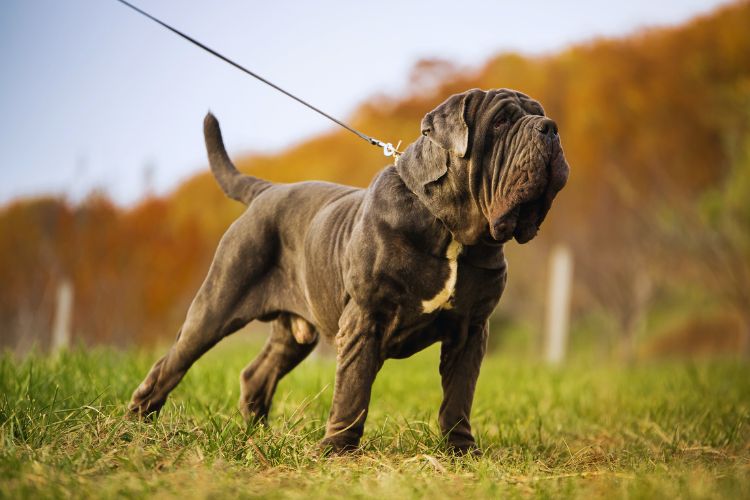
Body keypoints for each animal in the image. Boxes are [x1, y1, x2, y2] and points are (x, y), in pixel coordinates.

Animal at [129, 88, 568, 456]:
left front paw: (461, 451)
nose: (550, 127)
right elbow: (353, 389)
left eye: (539, 114)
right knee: (171, 364)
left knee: (257, 374)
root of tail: (266, 190)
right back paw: (137, 425)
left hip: (294, 333)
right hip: (216, 304)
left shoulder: (471, 329)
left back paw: (259, 436)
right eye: (501, 122)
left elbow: (459, 395)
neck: (449, 229)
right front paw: (338, 450)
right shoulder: (365, 319)